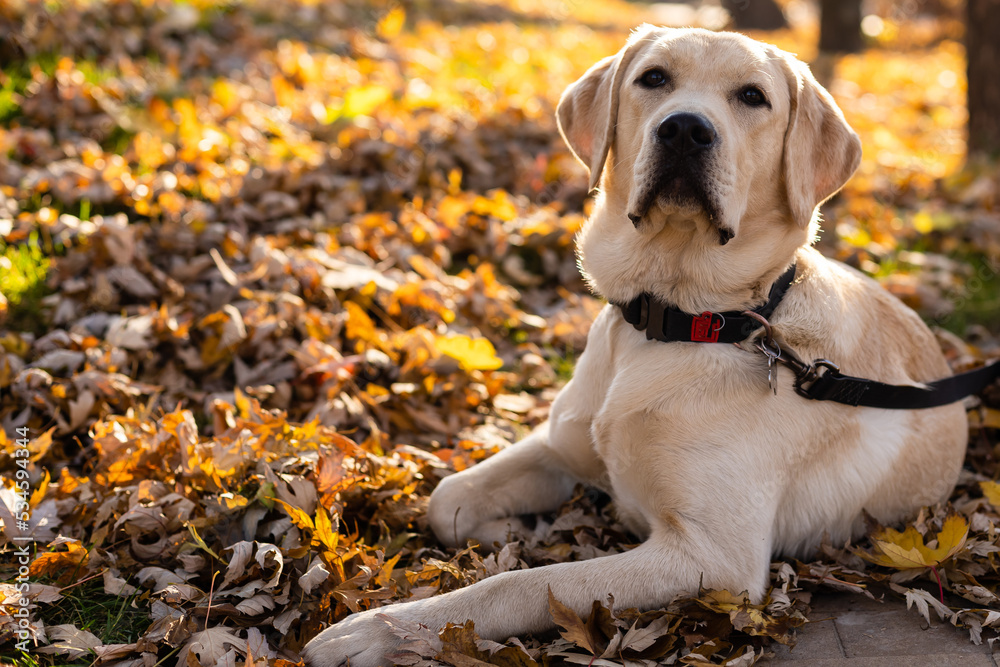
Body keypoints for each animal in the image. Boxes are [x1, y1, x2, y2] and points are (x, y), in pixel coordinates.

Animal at [304, 26, 968, 667]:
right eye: (654, 79)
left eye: (753, 96)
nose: (685, 128)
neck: (678, 320)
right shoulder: (560, 444)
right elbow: (447, 499)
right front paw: (501, 529)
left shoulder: (712, 557)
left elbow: (527, 583)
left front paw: (383, 630)